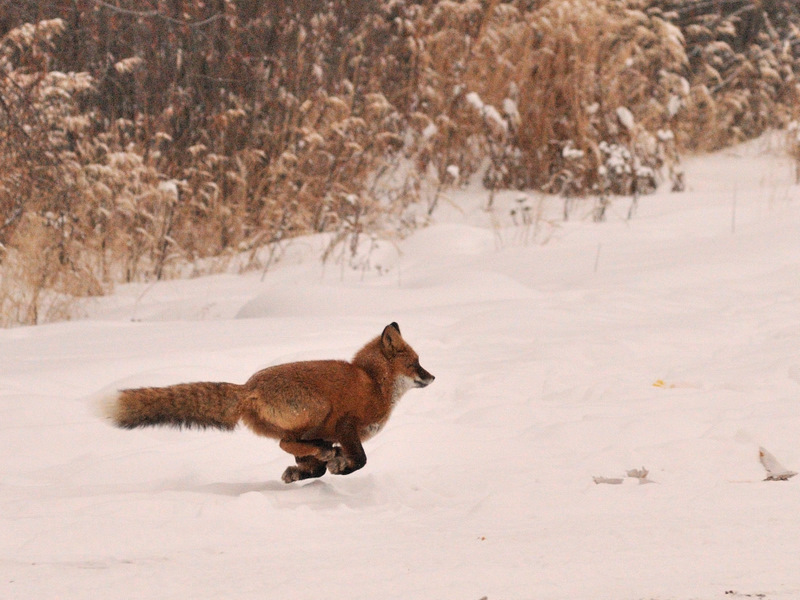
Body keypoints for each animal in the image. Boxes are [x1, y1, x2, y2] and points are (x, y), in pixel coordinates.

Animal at [104, 324, 438, 482]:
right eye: (416, 364)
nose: (434, 377)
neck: (373, 383)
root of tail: (248, 387)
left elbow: (320, 467)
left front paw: (304, 472)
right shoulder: (346, 424)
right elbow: (360, 460)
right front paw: (341, 466)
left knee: (292, 446)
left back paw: (310, 462)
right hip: (317, 409)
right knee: (288, 443)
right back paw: (321, 454)